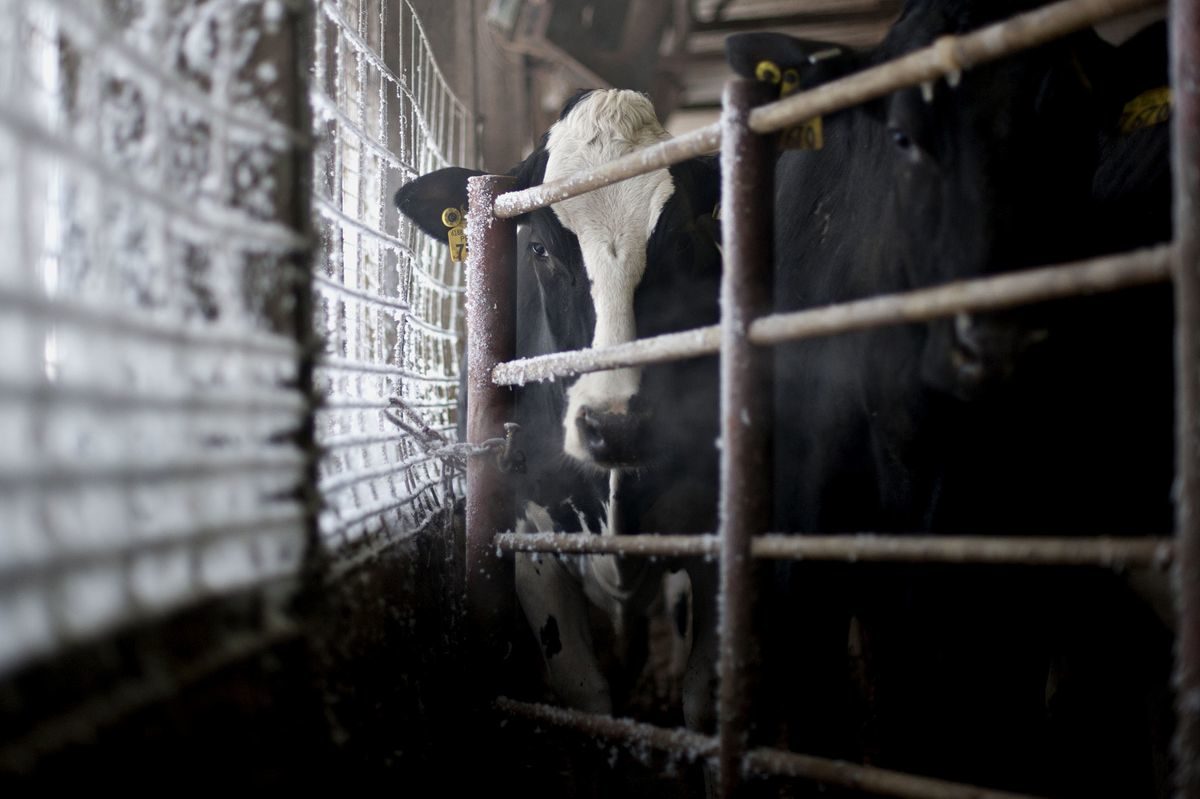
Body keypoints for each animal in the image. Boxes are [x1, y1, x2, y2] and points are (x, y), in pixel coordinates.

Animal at [391, 91, 720, 739]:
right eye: (539, 247)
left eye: (684, 243)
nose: (616, 425)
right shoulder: (529, 534)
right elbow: (585, 692)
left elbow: (706, 699)